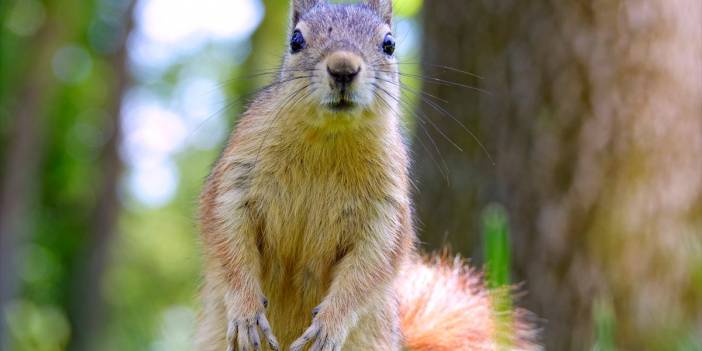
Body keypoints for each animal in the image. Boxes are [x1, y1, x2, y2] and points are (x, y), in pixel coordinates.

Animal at [194, 1, 540, 350]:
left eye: (389, 44)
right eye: (296, 40)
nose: (343, 68)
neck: (329, 140)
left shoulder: (385, 211)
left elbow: (368, 270)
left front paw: (329, 326)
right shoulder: (235, 181)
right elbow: (229, 241)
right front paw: (246, 313)